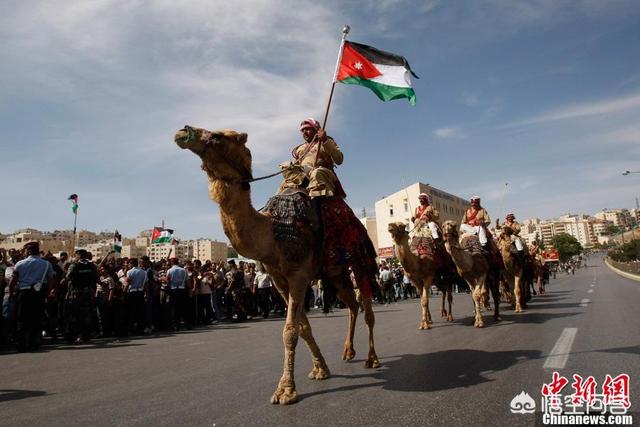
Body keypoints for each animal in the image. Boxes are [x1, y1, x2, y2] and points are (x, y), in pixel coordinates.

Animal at [172, 125, 378, 406]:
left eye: (218, 136)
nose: (183, 131)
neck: (273, 231)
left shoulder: (299, 274)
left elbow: (290, 330)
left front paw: (286, 390)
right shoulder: (279, 279)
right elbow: (303, 327)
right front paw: (320, 369)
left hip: (359, 258)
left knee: (367, 308)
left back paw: (372, 359)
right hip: (335, 272)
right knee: (352, 304)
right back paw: (348, 351)